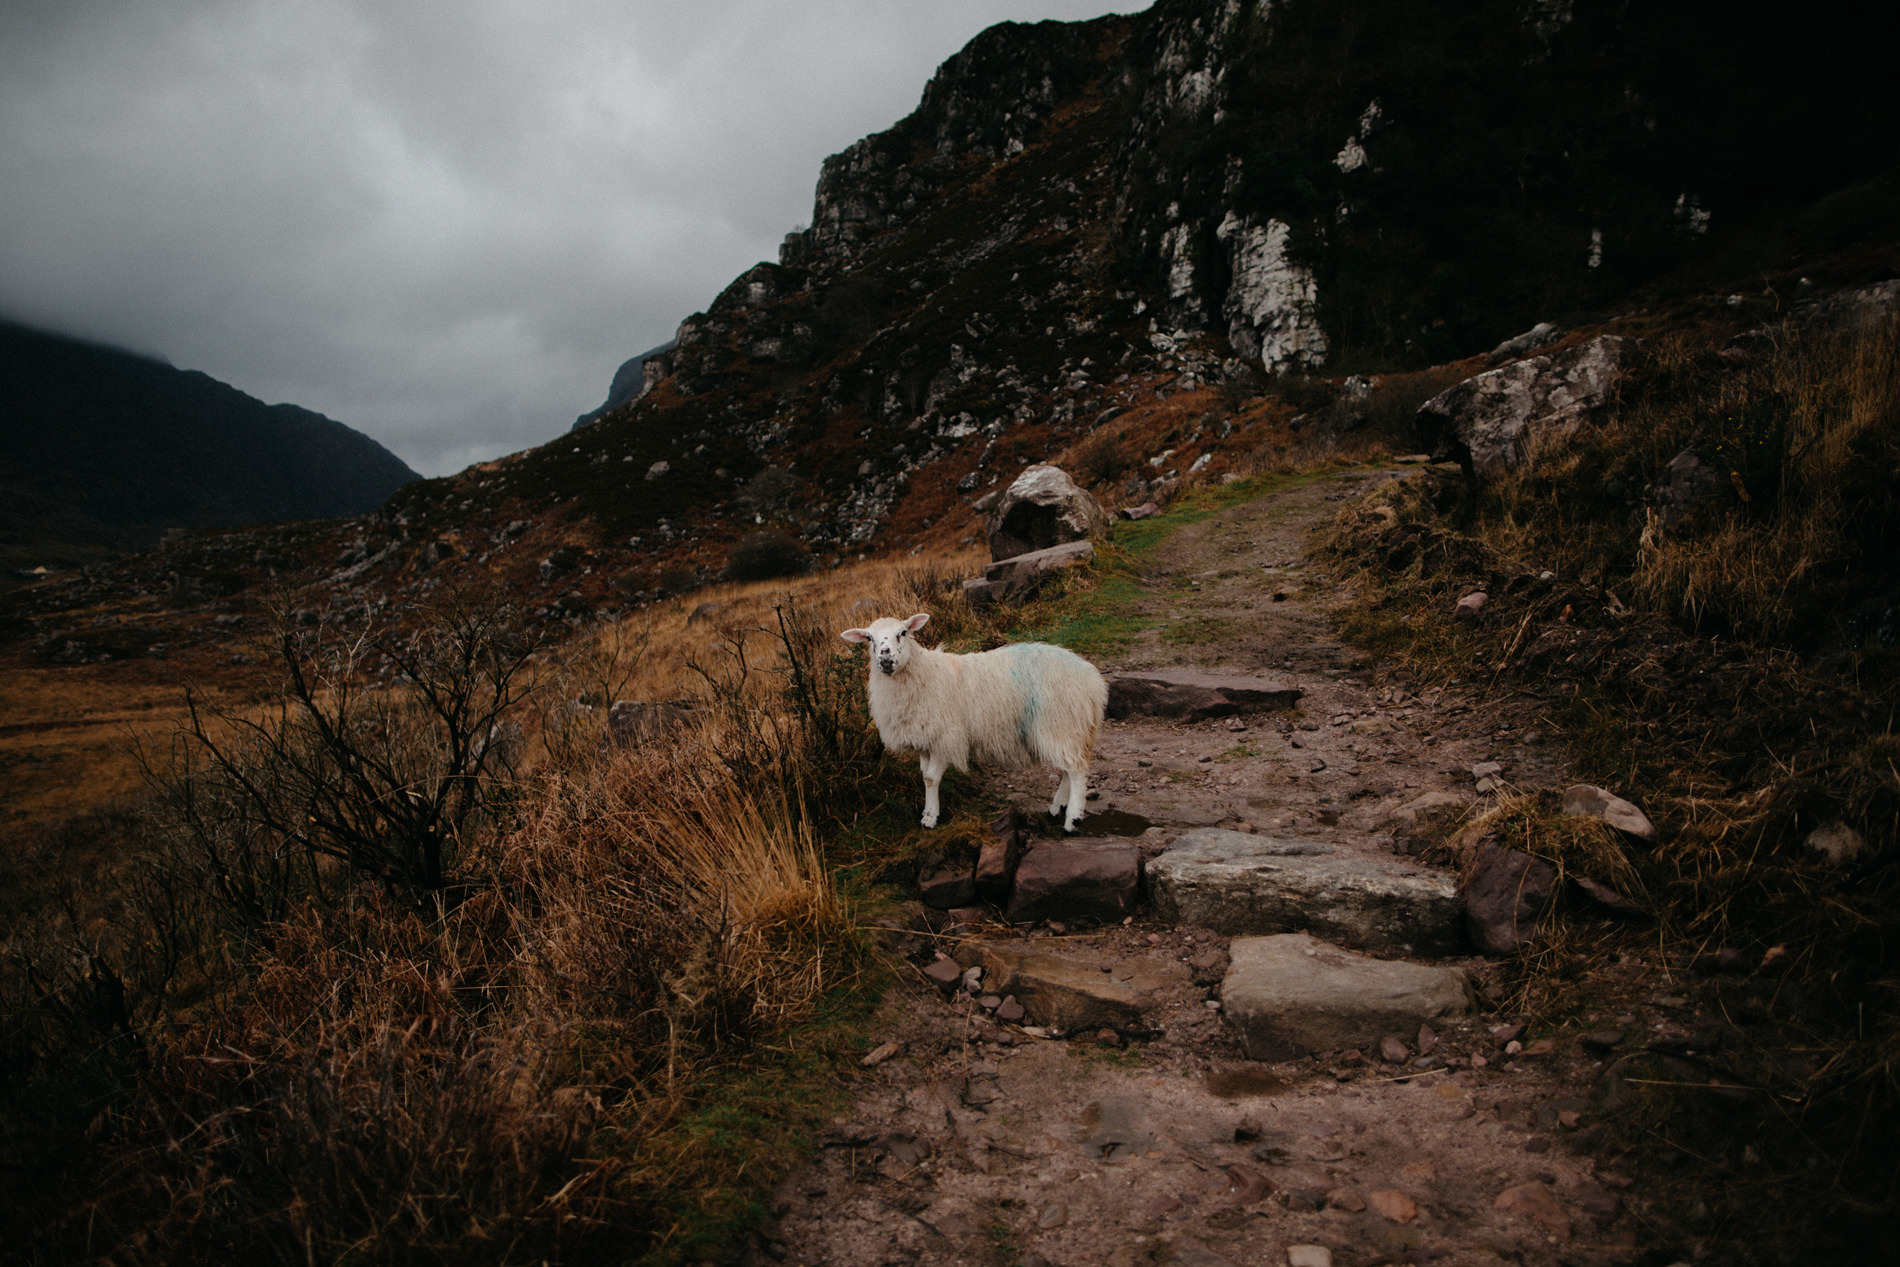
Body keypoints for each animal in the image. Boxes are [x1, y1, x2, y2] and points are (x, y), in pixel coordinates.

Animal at [839, 611, 1109, 832]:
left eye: (903, 632)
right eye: (869, 638)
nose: (885, 660)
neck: (922, 673)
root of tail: (1092, 678)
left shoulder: (945, 737)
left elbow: (931, 778)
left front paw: (930, 818)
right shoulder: (926, 739)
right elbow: (924, 775)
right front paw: (927, 811)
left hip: (1062, 723)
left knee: (1077, 770)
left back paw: (1072, 819)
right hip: (1070, 730)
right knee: (1068, 768)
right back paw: (1056, 808)